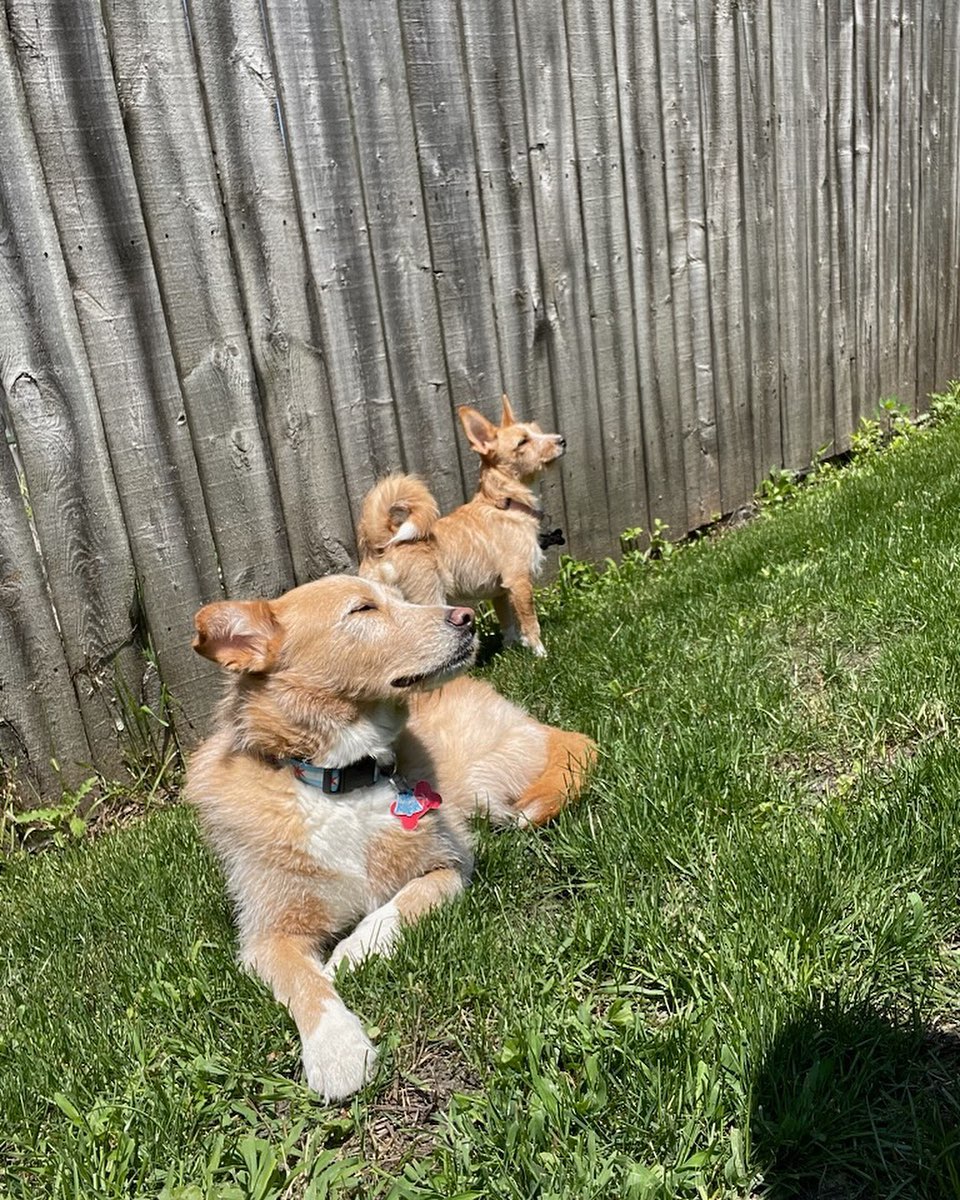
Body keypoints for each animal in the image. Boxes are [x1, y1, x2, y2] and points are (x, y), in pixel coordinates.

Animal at [184, 576, 595, 1099]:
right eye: (362, 610)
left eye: (399, 598)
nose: (465, 617)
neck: (340, 780)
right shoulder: (267, 936)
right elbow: (305, 983)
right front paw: (336, 1048)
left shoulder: (450, 865)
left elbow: (396, 906)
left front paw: (353, 953)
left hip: (487, 789)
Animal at [355, 393, 566, 657]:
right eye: (522, 442)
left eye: (537, 431)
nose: (562, 440)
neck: (504, 502)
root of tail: (382, 544)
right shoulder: (519, 582)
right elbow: (530, 622)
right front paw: (541, 655)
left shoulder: (499, 591)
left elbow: (507, 622)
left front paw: (510, 650)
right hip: (429, 598)